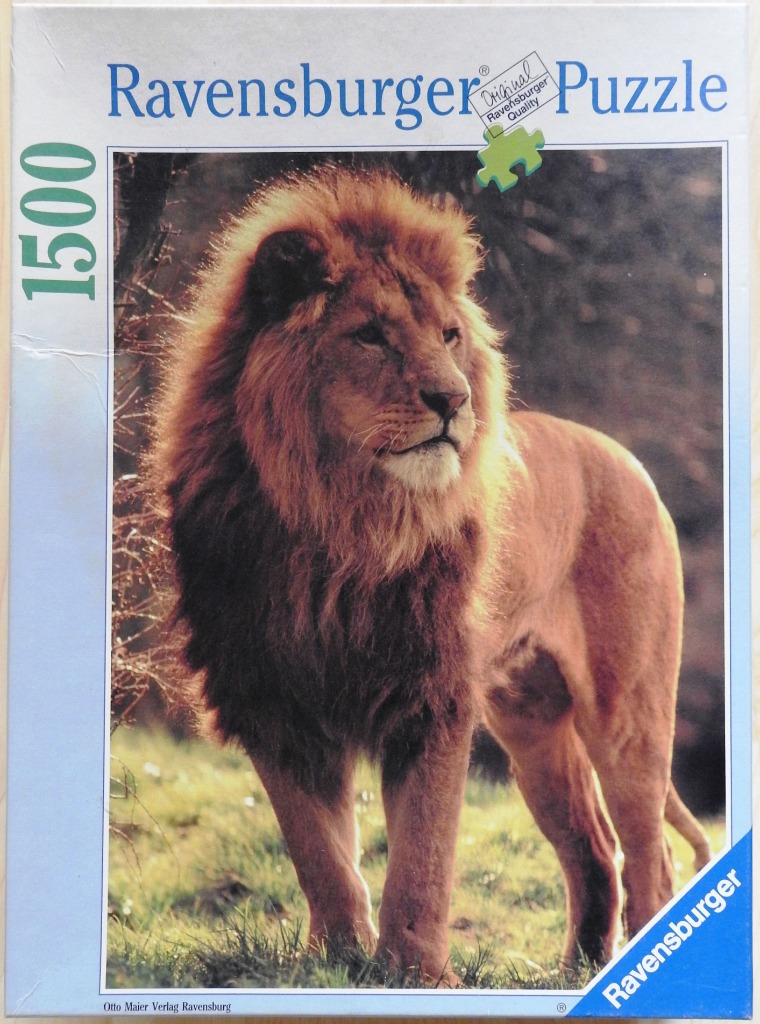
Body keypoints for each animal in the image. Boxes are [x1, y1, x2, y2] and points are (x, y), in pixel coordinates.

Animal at [155, 165, 711, 986]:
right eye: (369, 335)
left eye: (450, 336)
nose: (455, 400)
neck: (339, 522)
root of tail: (623, 454)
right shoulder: (272, 697)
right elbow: (318, 851)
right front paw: (336, 959)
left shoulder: (430, 695)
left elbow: (421, 855)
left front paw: (414, 971)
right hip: (532, 725)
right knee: (593, 849)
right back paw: (573, 974)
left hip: (627, 712)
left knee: (650, 858)